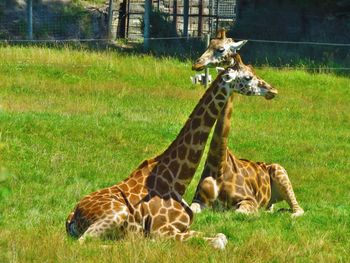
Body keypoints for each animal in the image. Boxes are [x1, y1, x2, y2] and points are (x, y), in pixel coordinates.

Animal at [67, 40, 278, 249]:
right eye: (248, 77)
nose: (272, 90)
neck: (177, 181)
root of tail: (71, 217)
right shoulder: (162, 230)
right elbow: (219, 240)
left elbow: (222, 236)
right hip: (117, 214)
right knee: (85, 242)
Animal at [189, 29, 304, 219]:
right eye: (209, 44)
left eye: (221, 49)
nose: (197, 64)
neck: (219, 164)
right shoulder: (198, 200)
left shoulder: (249, 202)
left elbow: (233, 213)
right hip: (271, 200)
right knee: (273, 208)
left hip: (281, 173)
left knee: (298, 210)